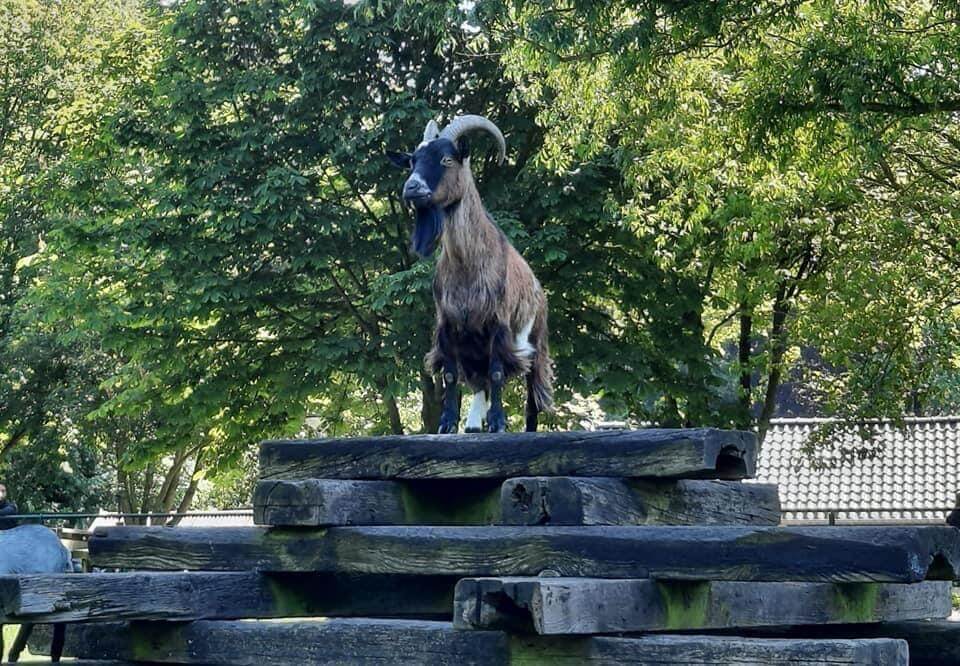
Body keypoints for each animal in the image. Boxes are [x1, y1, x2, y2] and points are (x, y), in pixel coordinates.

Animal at [388, 114, 556, 430]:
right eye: (412, 161)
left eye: (446, 159)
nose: (412, 188)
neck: (467, 266)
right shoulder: (449, 324)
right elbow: (450, 375)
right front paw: (446, 424)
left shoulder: (498, 324)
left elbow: (498, 373)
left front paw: (499, 423)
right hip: (473, 349)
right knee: (480, 385)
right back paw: (474, 425)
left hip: (535, 344)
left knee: (531, 397)